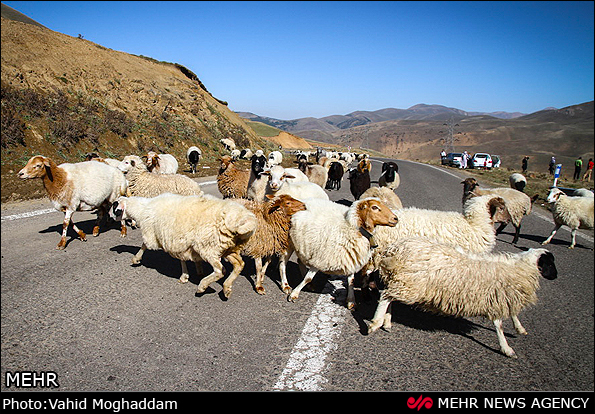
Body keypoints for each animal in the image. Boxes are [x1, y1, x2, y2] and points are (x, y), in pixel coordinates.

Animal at [110, 194, 258, 298]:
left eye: (114, 205)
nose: (110, 216)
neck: (141, 210)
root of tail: (241, 220)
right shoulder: (178, 242)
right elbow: (182, 259)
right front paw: (185, 276)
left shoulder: (152, 234)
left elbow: (144, 245)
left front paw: (136, 259)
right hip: (229, 247)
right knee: (239, 264)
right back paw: (226, 288)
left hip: (208, 246)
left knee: (220, 270)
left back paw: (202, 286)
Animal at [368, 238, 560, 358]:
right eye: (550, 264)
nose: (556, 276)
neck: (522, 268)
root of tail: (395, 249)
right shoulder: (494, 298)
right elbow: (498, 324)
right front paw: (507, 349)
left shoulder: (502, 296)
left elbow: (512, 313)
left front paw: (519, 329)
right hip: (410, 285)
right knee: (385, 296)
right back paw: (376, 323)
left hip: (403, 282)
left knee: (388, 296)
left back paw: (387, 321)